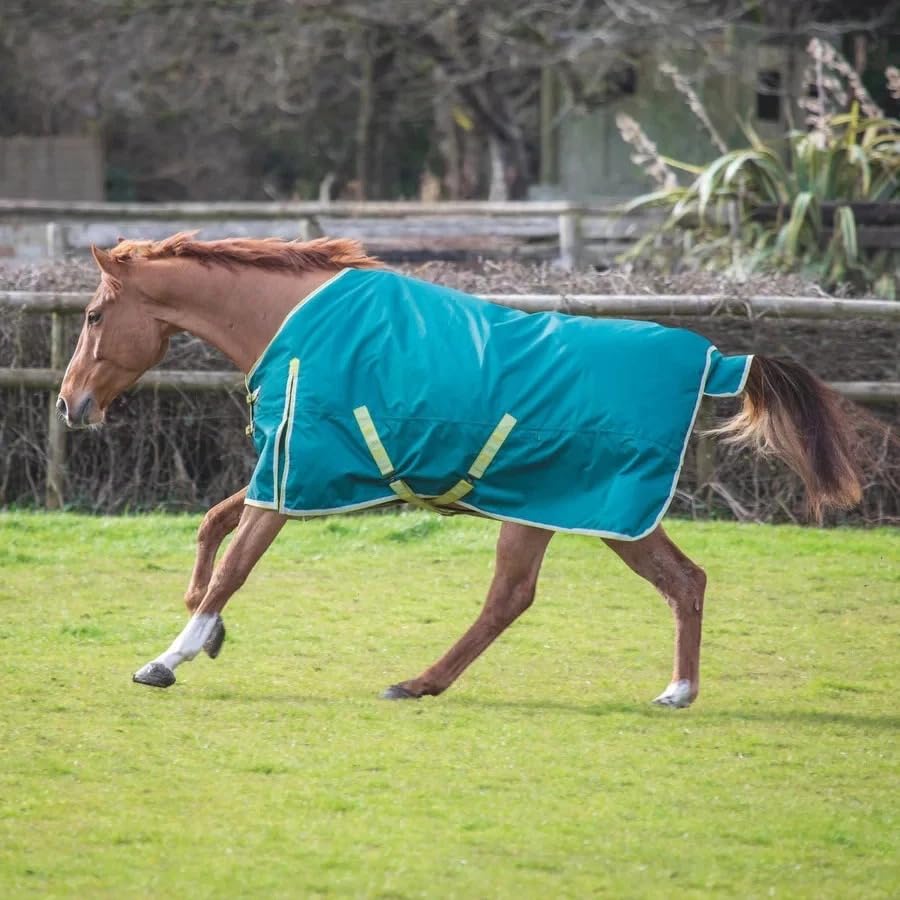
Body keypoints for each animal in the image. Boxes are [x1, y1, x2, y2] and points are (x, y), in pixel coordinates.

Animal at [57, 234, 862, 707]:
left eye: (93, 316)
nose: (69, 405)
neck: (296, 325)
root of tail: (712, 359)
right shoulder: (284, 470)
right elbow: (211, 527)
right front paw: (206, 626)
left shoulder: (294, 477)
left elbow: (234, 565)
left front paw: (168, 659)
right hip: (606, 517)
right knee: (683, 582)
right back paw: (677, 690)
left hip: (554, 511)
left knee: (511, 598)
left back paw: (418, 682)